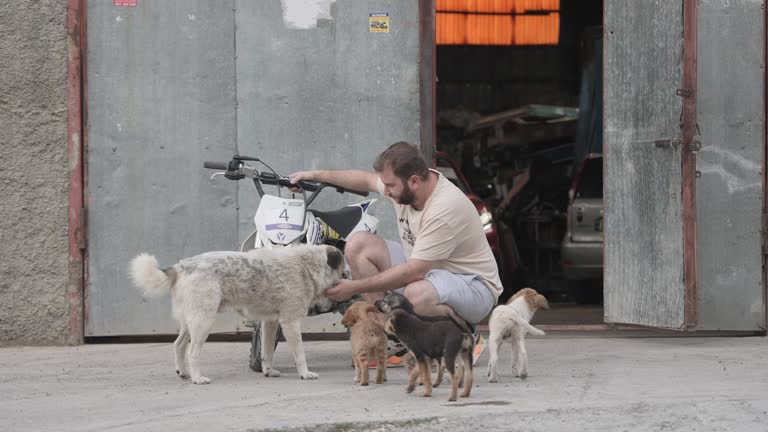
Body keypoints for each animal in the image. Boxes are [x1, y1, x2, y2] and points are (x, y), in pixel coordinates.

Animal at [127, 245, 344, 384]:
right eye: (344, 269)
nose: (349, 279)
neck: (306, 266)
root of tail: (181, 266)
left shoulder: (270, 323)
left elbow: (267, 352)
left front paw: (268, 371)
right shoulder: (290, 323)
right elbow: (300, 354)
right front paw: (305, 374)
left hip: (191, 320)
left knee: (178, 344)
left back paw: (184, 373)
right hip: (203, 321)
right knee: (192, 352)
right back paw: (197, 378)